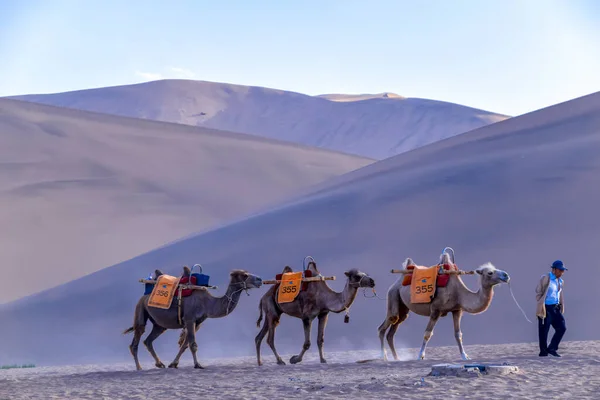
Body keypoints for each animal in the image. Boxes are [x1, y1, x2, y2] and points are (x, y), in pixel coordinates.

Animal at [123, 268, 262, 370]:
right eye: (244, 275)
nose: (260, 279)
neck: (207, 303)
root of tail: (144, 296)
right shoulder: (190, 319)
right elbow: (193, 344)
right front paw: (198, 365)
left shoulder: (198, 323)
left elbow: (185, 344)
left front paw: (173, 364)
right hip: (141, 309)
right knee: (136, 339)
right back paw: (139, 367)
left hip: (159, 324)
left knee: (148, 340)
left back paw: (160, 364)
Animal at [378, 248, 508, 360]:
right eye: (490, 273)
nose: (506, 275)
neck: (458, 293)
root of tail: (400, 279)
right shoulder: (436, 310)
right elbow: (427, 334)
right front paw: (420, 356)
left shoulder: (457, 310)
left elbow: (458, 334)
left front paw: (465, 356)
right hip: (393, 295)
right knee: (384, 326)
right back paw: (383, 357)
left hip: (403, 308)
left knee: (392, 331)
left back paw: (396, 358)